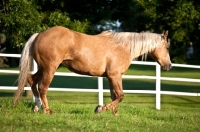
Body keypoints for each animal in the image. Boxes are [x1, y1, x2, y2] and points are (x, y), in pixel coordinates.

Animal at [13, 26, 172, 115]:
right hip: (49, 69)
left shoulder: (110, 77)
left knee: (32, 81)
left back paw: (37, 107)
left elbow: (114, 96)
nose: (169, 65)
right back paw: (47, 111)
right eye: (167, 47)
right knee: (42, 87)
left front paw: (115, 114)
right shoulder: (115, 76)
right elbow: (120, 96)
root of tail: (39, 35)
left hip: (43, 68)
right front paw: (100, 109)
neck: (123, 47)